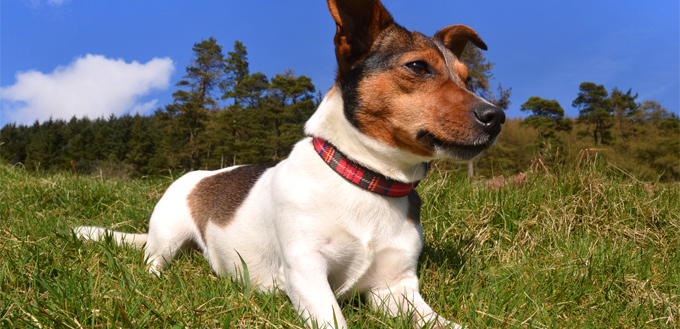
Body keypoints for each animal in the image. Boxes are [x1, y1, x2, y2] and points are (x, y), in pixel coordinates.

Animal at [73, 1, 504, 326]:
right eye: (417, 67)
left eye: (467, 78)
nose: (496, 116)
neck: (367, 179)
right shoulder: (306, 272)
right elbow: (332, 316)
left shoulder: (395, 288)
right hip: (167, 234)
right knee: (152, 262)